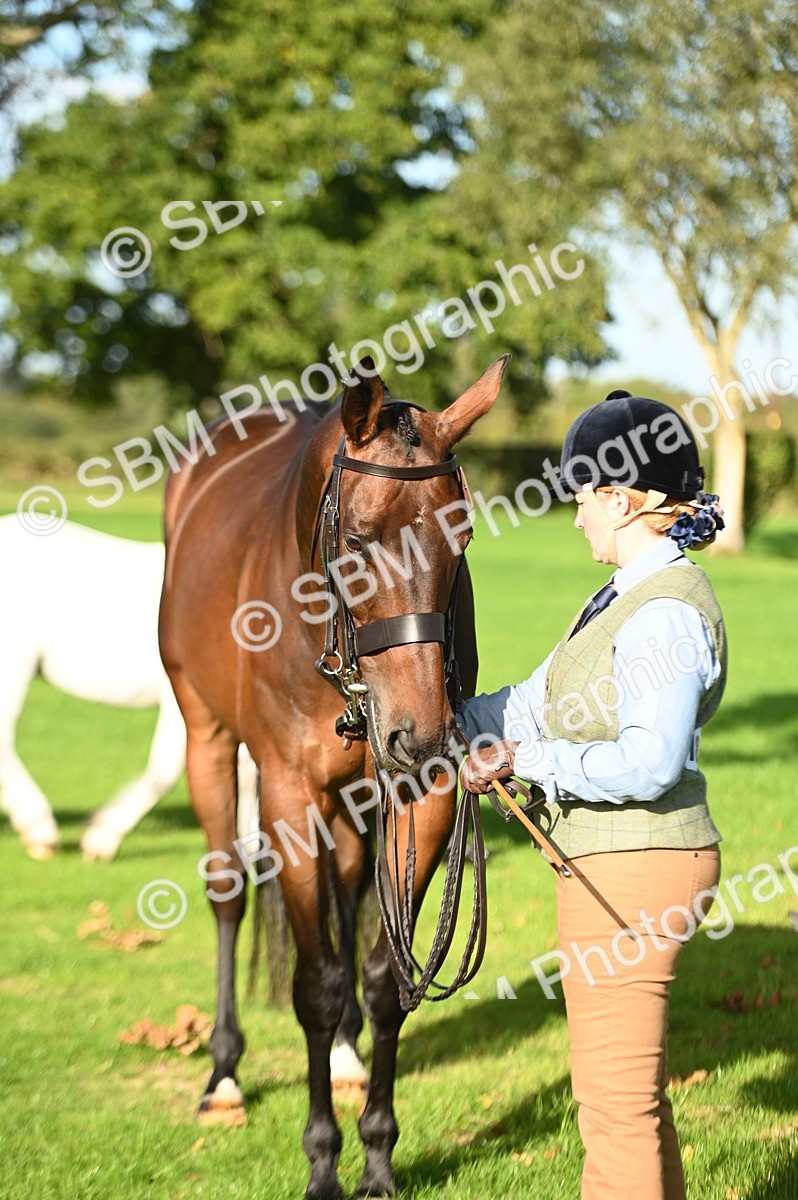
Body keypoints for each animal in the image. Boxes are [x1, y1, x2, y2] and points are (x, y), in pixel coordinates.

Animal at [158, 354, 508, 1199]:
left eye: (462, 535)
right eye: (355, 538)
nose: (419, 730)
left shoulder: (422, 793)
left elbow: (387, 975)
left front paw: (378, 1156)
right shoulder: (287, 795)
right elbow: (313, 985)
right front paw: (322, 1162)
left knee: (349, 885)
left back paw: (346, 1057)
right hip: (205, 737)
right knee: (228, 889)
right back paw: (223, 1074)